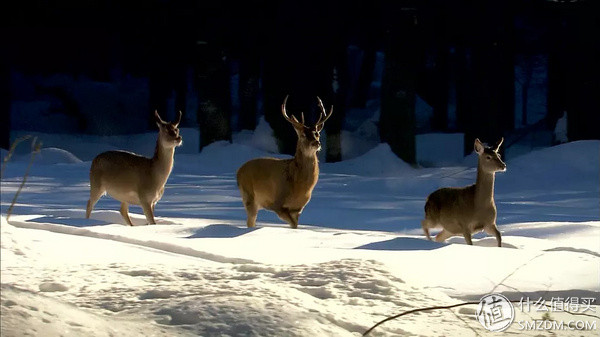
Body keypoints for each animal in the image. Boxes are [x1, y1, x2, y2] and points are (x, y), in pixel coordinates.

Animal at [236, 96, 332, 230]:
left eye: (317, 134)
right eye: (303, 135)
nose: (316, 143)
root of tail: (238, 171)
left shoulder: (297, 209)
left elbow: (295, 226)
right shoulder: (277, 203)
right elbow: (291, 223)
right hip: (249, 196)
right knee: (250, 221)